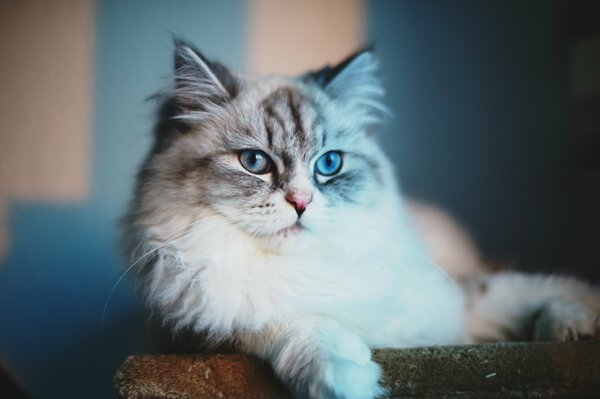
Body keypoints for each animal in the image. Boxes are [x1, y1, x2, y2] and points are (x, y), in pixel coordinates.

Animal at [123, 39, 600, 399]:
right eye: (254, 162)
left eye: (329, 164)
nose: (300, 201)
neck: (306, 268)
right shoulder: (206, 332)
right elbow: (302, 326)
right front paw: (347, 380)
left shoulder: (451, 307)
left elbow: (536, 290)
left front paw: (575, 322)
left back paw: (568, 327)